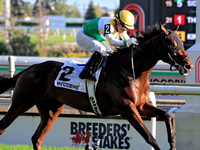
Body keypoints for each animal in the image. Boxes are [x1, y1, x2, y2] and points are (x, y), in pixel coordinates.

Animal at [0, 24, 194, 149]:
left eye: (181, 43)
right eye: (172, 44)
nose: (188, 66)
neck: (131, 71)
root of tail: (27, 70)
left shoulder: (140, 105)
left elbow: (166, 116)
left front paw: (173, 143)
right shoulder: (127, 108)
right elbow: (150, 137)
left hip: (51, 110)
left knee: (37, 139)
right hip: (20, 103)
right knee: (3, 127)